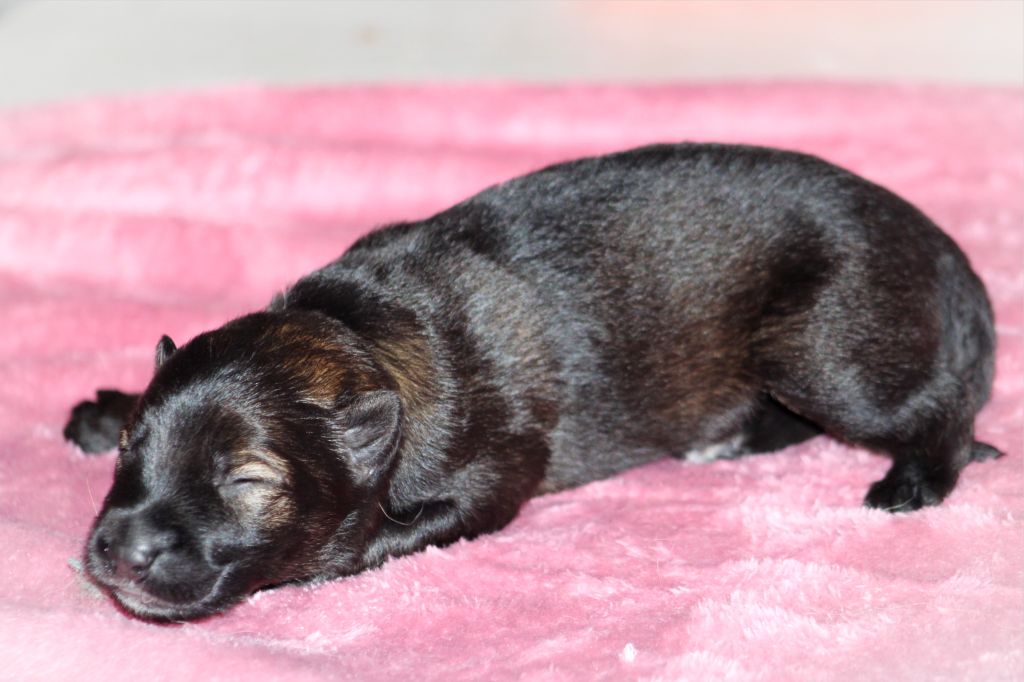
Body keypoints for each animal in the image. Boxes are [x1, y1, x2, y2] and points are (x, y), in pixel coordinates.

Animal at [64, 143, 1001, 621]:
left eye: (248, 481)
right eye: (132, 452)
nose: (117, 550)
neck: (357, 334)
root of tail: (939, 246)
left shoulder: (492, 479)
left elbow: (389, 536)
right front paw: (105, 407)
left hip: (820, 349)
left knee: (941, 407)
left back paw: (913, 480)